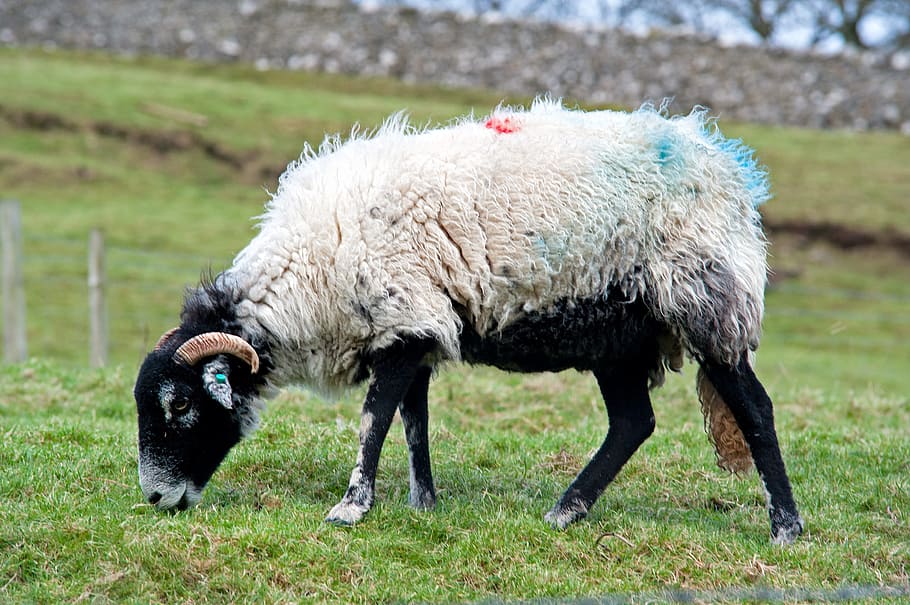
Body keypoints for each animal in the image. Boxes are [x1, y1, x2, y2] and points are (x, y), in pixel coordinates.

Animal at [135, 99, 804, 544]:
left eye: (180, 405)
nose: (157, 497)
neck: (313, 272)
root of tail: (726, 165)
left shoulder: (401, 317)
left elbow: (374, 420)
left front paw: (350, 508)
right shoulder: (414, 330)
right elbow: (413, 424)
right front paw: (423, 504)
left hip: (706, 300)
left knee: (754, 409)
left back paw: (786, 527)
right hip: (617, 338)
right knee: (633, 423)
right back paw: (566, 510)